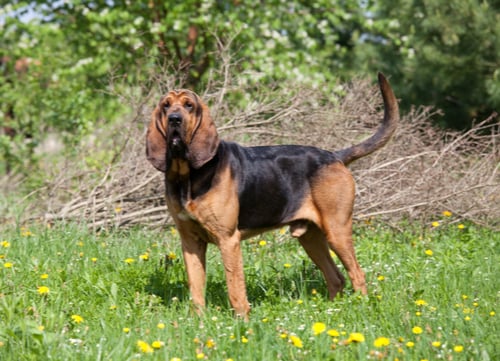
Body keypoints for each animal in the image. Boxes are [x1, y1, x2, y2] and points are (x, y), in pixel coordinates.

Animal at [146, 73, 398, 318]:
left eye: (189, 105)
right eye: (166, 106)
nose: (174, 119)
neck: (186, 174)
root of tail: (335, 156)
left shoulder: (228, 240)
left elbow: (235, 289)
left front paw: (242, 322)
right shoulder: (190, 242)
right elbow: (196, 290)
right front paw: (199, 322)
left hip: (337, 230)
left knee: (357, 273)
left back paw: (360, 307)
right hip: (311, 237)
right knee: (336, 277)